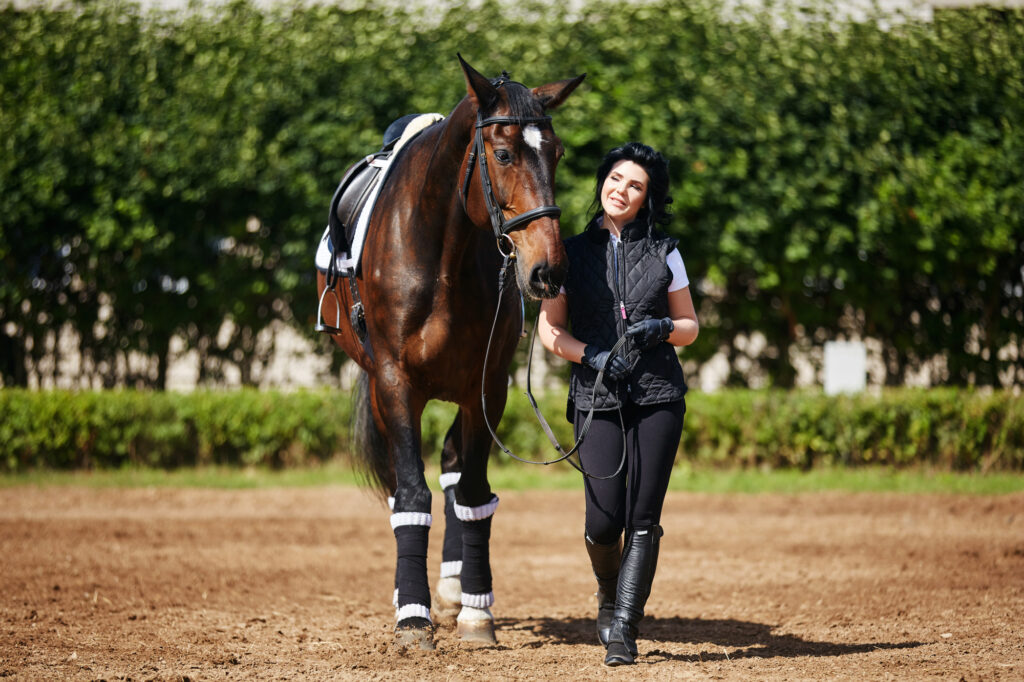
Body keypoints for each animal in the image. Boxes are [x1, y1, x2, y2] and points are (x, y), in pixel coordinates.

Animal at [311, 54, 585, 647]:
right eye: (503, 154)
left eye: (556, 153)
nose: (549, 271)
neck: (441, 252)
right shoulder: (394, 383)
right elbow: (412, 496)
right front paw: (412, 615)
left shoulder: (488, 385)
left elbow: (475, 492)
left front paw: (477, 611)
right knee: (408, 484)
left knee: (456, 471)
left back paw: (458, 588)